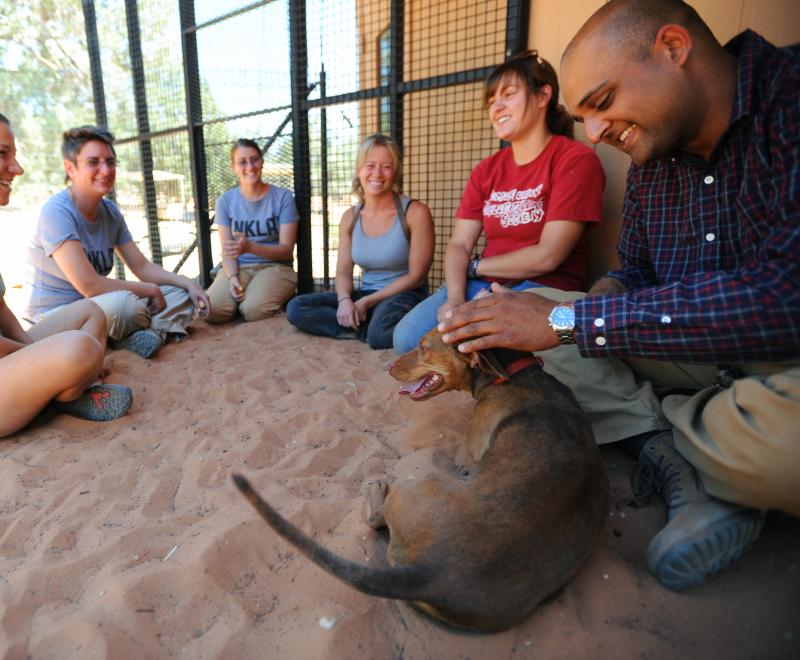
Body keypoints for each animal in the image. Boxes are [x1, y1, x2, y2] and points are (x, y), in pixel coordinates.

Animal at [234, 328, 608, 632]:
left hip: (416, 482)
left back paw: (378, 490)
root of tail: (428, 573)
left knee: (374, 520)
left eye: (424, 347)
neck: (517, 375)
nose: (387, 368)